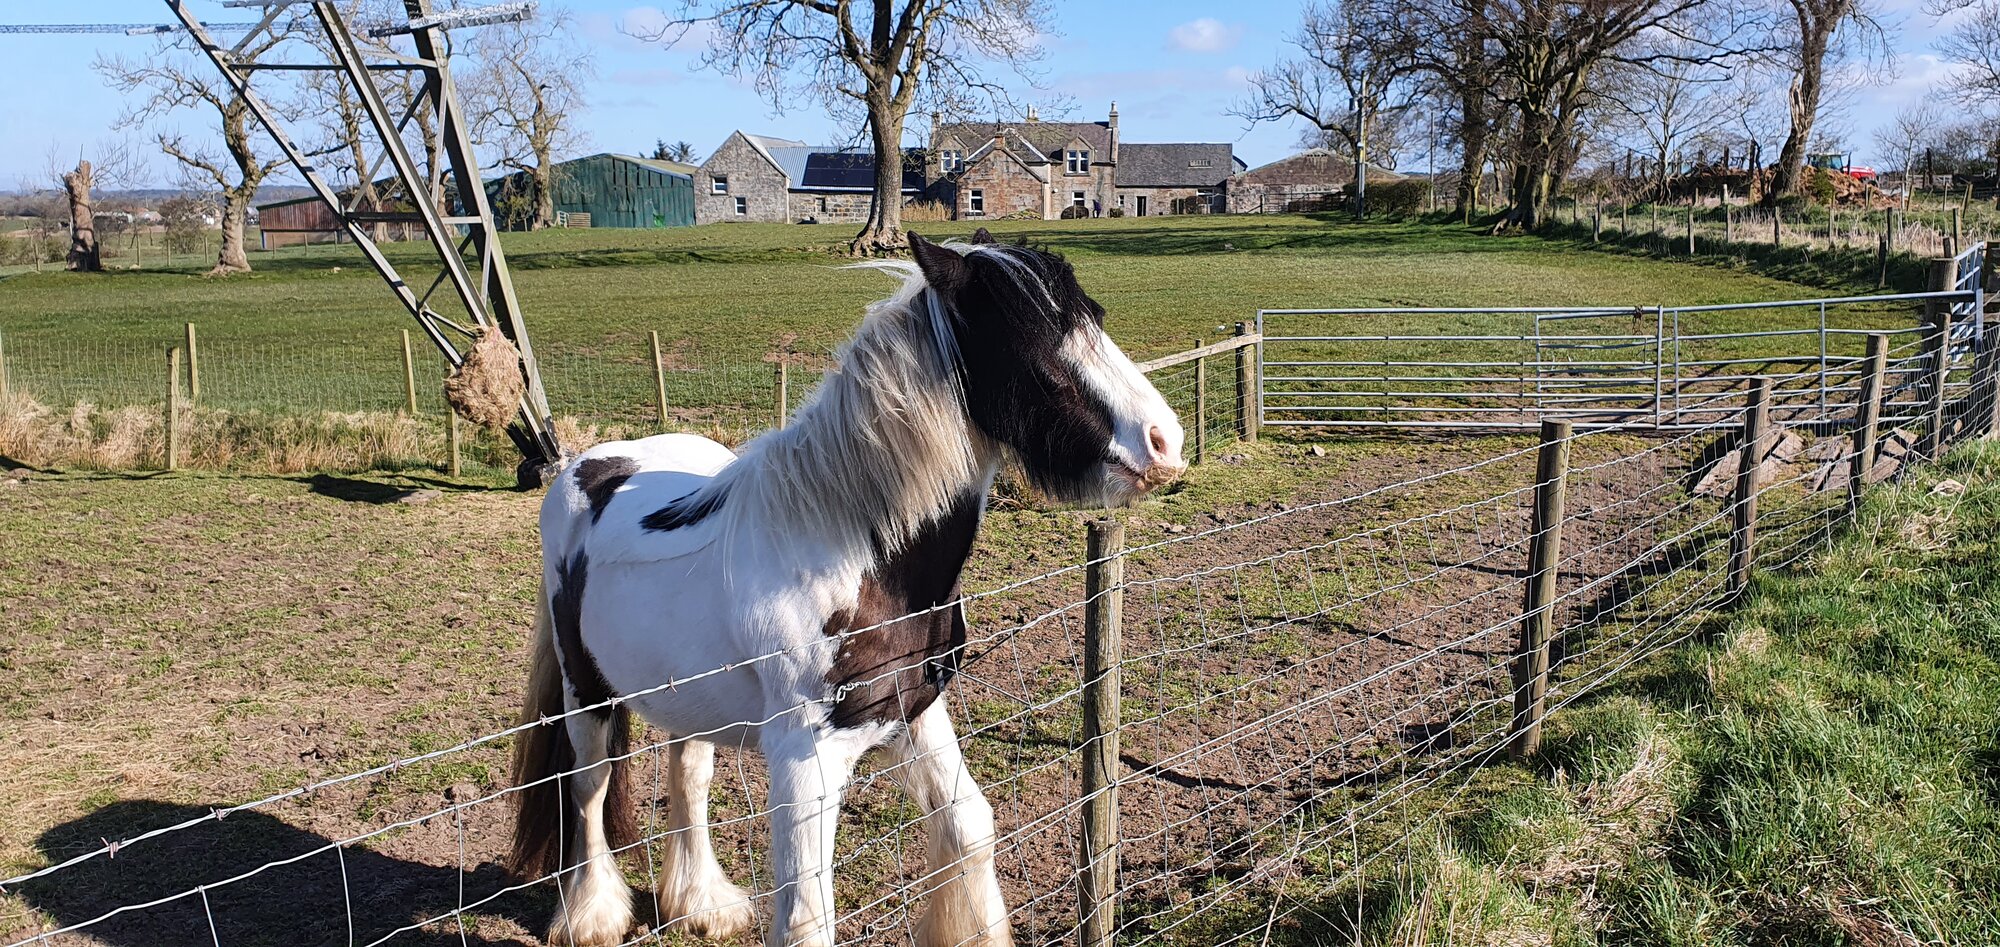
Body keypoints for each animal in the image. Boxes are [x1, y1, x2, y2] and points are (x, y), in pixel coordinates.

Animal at [508, 230, 1186, 947]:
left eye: (1091, 317)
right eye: (1028, 338)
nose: (1165, 442)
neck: (859, 559)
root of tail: (585, 461)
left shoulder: (916, 712)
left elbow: (970, 829)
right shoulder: (806, 758)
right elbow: (807, 916)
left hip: (683, 695)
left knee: (687, 773)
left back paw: (702, 903)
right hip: (585, 691)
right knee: (587, 784)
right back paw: (592, 915)